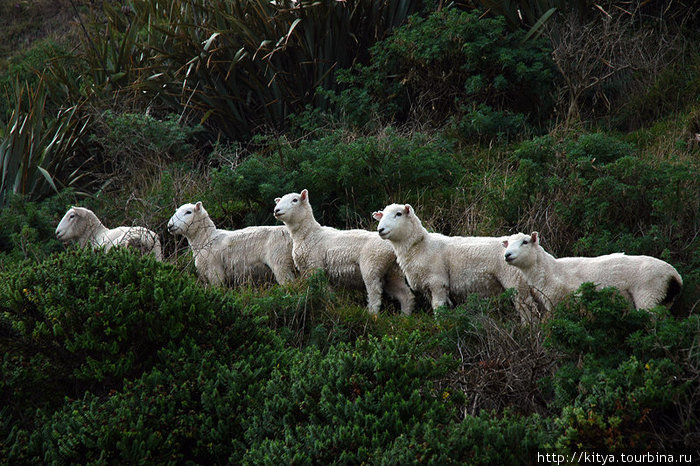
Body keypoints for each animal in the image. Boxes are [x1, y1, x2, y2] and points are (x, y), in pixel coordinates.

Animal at [274, 189, 416, 316]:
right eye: (280, 201)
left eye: (295, 200)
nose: (276, 210)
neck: (309, 234)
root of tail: (392, 248)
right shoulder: (311, 271)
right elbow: (328, 292)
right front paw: (332, 305)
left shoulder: (316, 266)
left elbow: (323, 290)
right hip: (393, 272)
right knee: (405, 295)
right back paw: (405, 317)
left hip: (372, 265)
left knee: (375, 293)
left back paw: (372, 315)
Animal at [372, 204, 536, 320]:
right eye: (382, 216)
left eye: (398, 214)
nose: (380, 229)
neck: (420, 247)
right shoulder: (428, 288)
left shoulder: (438, 282)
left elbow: (438, 308)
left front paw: (440, 326)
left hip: (515, 281)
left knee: (526, 307)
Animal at [504, 230, 684, 312]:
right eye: (507, 244)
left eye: (525, 242)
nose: (507, 255)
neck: (553, 271)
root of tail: (675, 277)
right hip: (663, 300)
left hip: (649, 296)